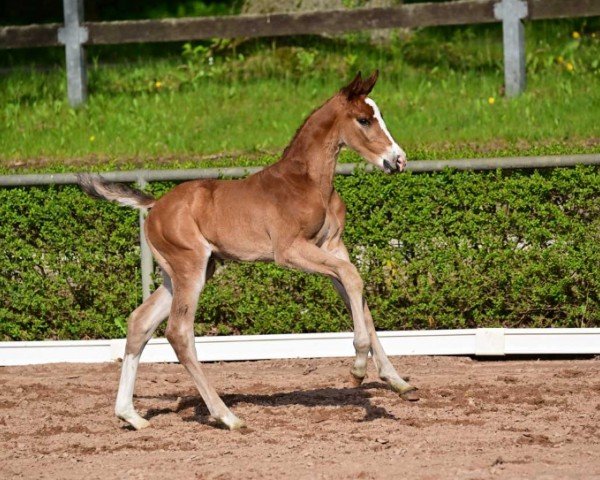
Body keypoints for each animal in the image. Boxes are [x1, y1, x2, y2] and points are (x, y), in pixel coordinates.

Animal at [78, 71, 418, 432]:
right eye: (364, 120)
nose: (398, 160)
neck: (308, 182)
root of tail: (154, 205)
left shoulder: (333, 248)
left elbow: (358, 295)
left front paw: (398, 382)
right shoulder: (290, 250)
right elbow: (353, 280)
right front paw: (357, 370)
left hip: (186, 273)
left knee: (140, 322)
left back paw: (131, 415)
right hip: (190, 268)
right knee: (179, 332)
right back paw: (227, 416)